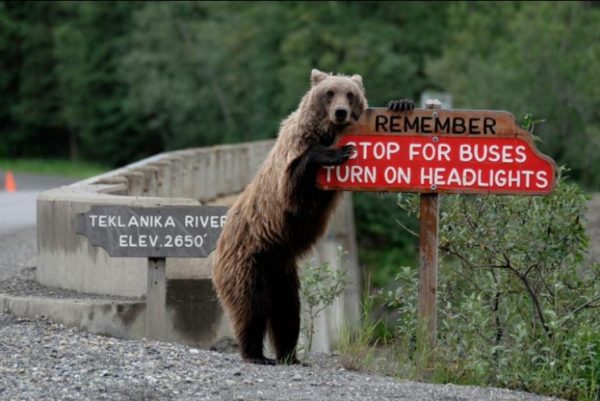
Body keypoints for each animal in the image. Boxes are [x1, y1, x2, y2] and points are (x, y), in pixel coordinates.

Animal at [211, 69, 412, 366]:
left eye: (350, 94)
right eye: (329, 92)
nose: (340, 112)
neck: (325, 131)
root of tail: (219, 243)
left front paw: (401, 103)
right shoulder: (291, 160)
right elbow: (295, 192)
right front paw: (334, 152)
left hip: (282, 272)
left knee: (288, 312)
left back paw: (290, 355)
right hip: (249, 258)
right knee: (251, 306)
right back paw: (255, 353)